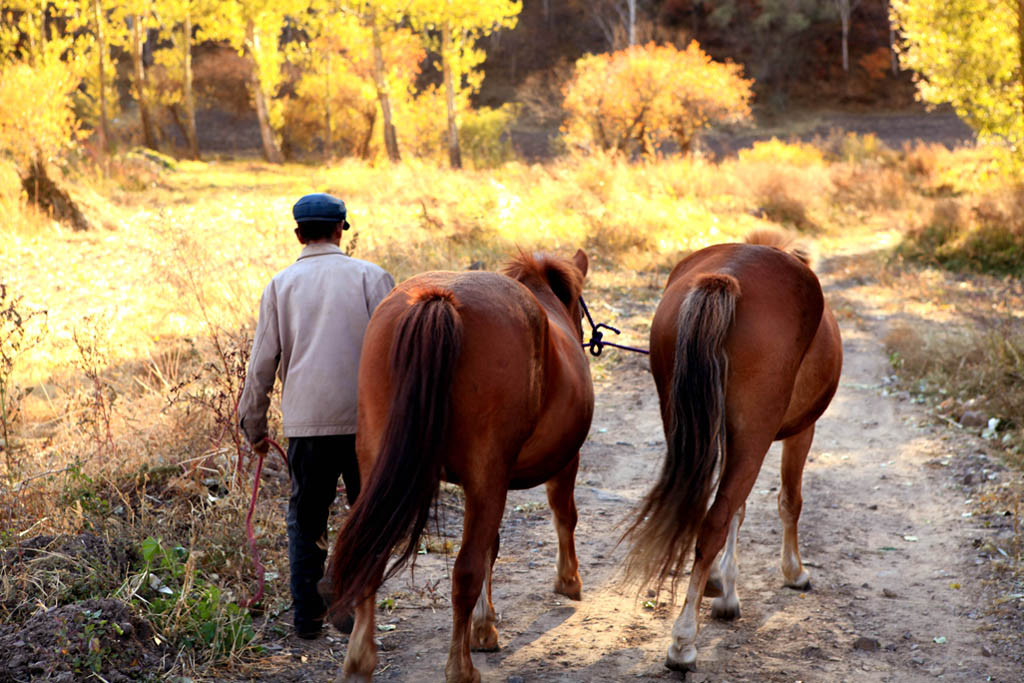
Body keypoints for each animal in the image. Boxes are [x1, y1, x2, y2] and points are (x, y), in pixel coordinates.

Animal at [323, 250, 598, 683]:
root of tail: (439, 300)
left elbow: (492, 549)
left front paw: (485, 627)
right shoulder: (557, 464)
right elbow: (562, 516)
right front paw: (568, 581)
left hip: (375, 465)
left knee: (373, 554)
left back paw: (359, 662)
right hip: (488, 478)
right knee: (464, 572)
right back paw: (461, 668)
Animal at [622, 232, 839, 671]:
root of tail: (726, 278)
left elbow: (739, 509)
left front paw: (722, 588)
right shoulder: (801, 431)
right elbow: (788, 501)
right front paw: (794, 572)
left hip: (686, 427)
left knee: (703, 508)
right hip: (754, 435)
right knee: (714, 521)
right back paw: (683, 642)